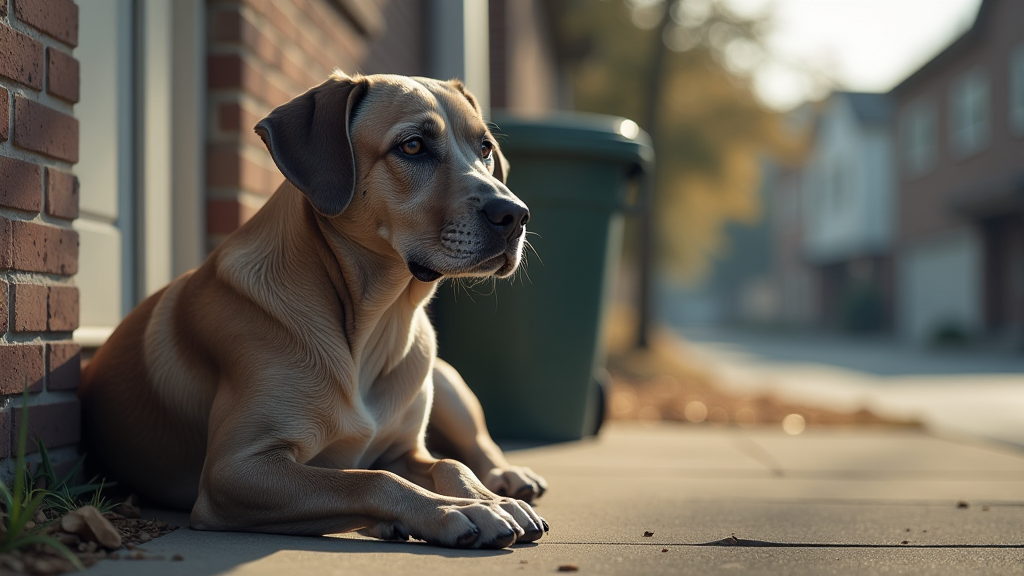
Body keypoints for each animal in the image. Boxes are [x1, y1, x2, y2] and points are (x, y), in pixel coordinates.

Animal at [77, 71, 552, 545]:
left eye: (485, 148)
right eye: (413, 146)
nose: (515, 215)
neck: (376, 323)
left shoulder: (405, 449)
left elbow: (451, 464)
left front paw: (489, 498)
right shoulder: (234, 470)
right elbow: (373, 479)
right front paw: (458, 509)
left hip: (445, 378)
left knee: (479, 446)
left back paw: (508, 476)